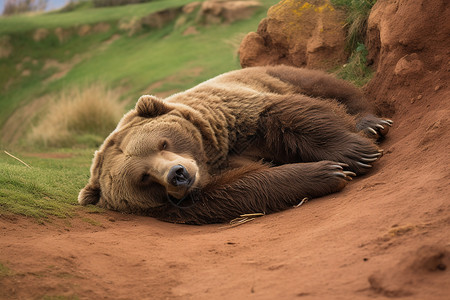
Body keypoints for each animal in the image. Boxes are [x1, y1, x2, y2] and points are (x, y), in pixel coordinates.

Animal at [79, 66, 392, 225]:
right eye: (143, 177)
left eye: (162, 143)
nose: (178, 174)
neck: (210, 157)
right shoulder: (197, 194)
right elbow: (243, 188)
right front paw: (326, 172)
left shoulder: (235, 116)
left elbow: (293, 114)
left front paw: (357, 153)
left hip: (274, 74)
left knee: (329, 87)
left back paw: (371, 123)